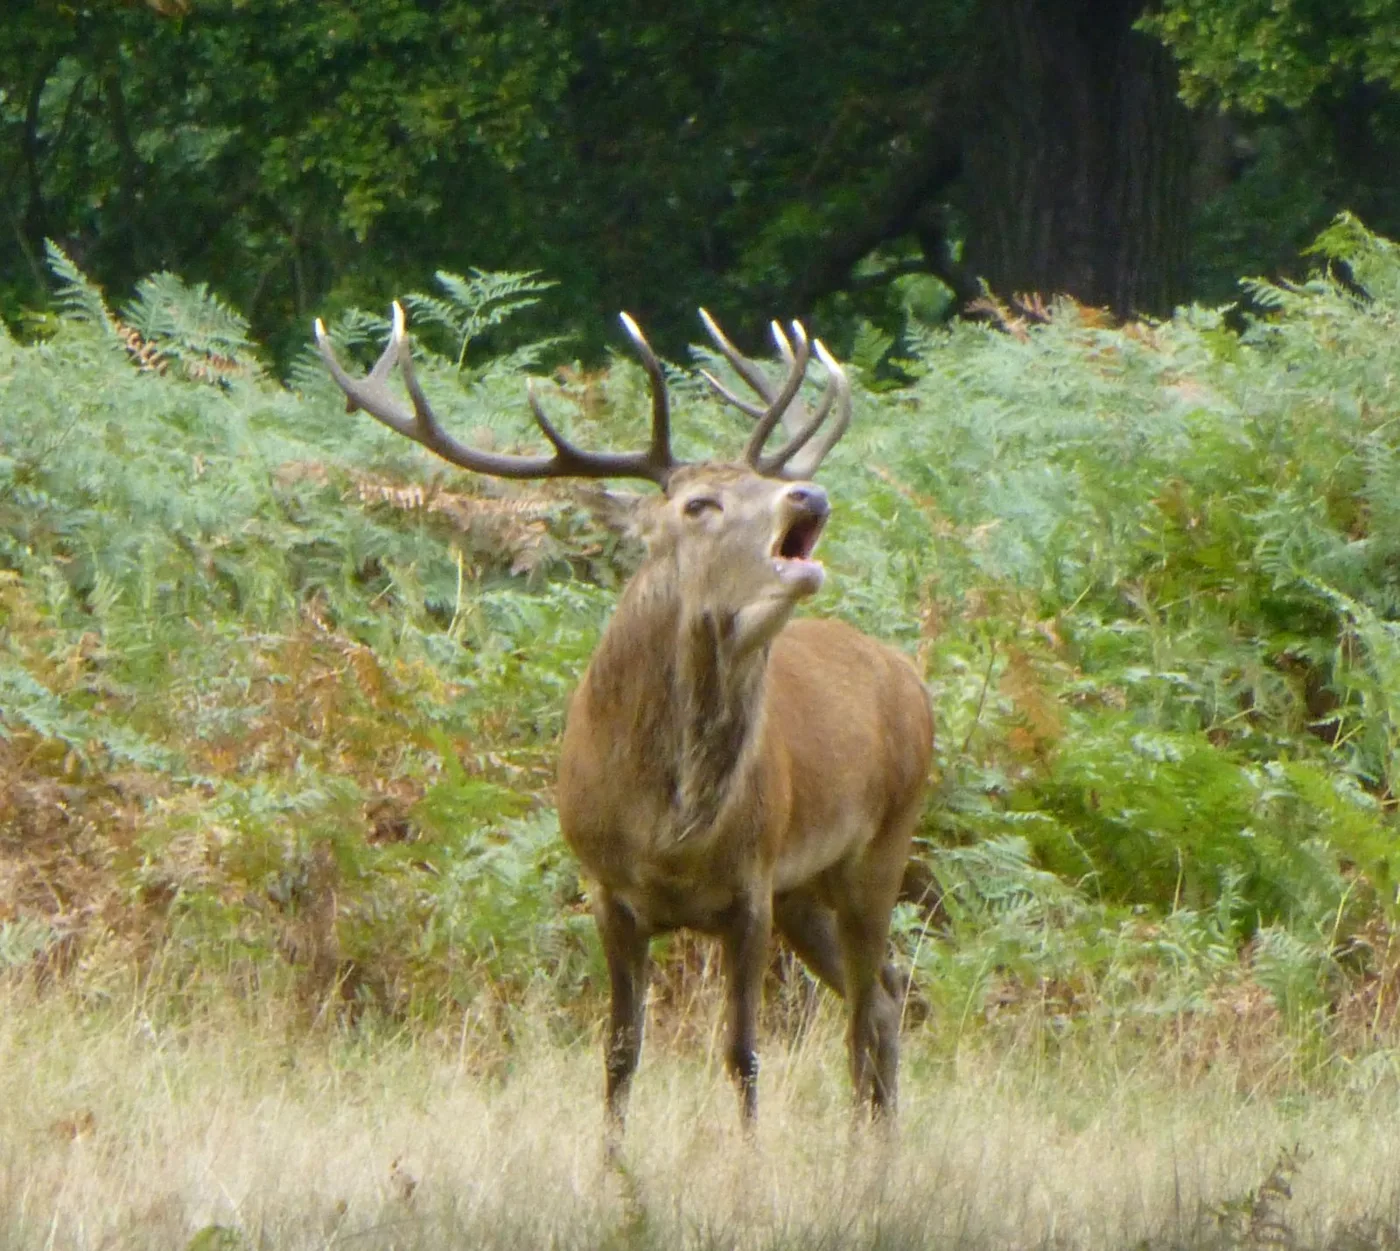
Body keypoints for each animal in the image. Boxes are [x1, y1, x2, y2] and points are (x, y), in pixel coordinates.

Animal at [315, 302, 934, 1143]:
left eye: (765, 483)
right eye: (698, 504)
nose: (807, 496)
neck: (670, 831)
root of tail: (910, 676)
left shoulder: (751, 889)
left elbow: (742, 1053)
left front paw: (747, 1160)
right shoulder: (609, 890)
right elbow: (618, 1051)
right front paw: (612, 1159)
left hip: (881, 846)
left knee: (870, 1010)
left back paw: (875, 1148)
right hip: (809, 890)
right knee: (887, 994)